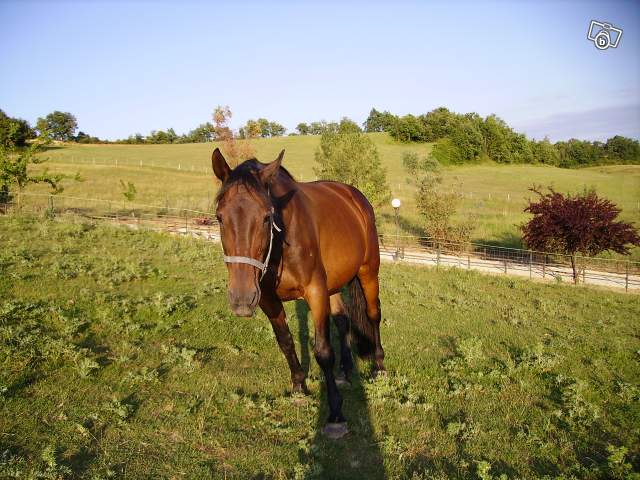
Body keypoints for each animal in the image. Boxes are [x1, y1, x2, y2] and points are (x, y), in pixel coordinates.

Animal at [211, 147, 385, 438]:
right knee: (342, 320)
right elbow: (286, 342)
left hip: (368, 271)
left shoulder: (315, 291)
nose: (241, 299)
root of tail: (354, 196)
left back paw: (380, 366)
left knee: (373, 315)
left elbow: (323, 351)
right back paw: (345, 371)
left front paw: (335, 414)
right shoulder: (268, 299)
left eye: (266, 217)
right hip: (333, 285)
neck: (282, 243)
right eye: (219, 217)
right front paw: (299, 386)